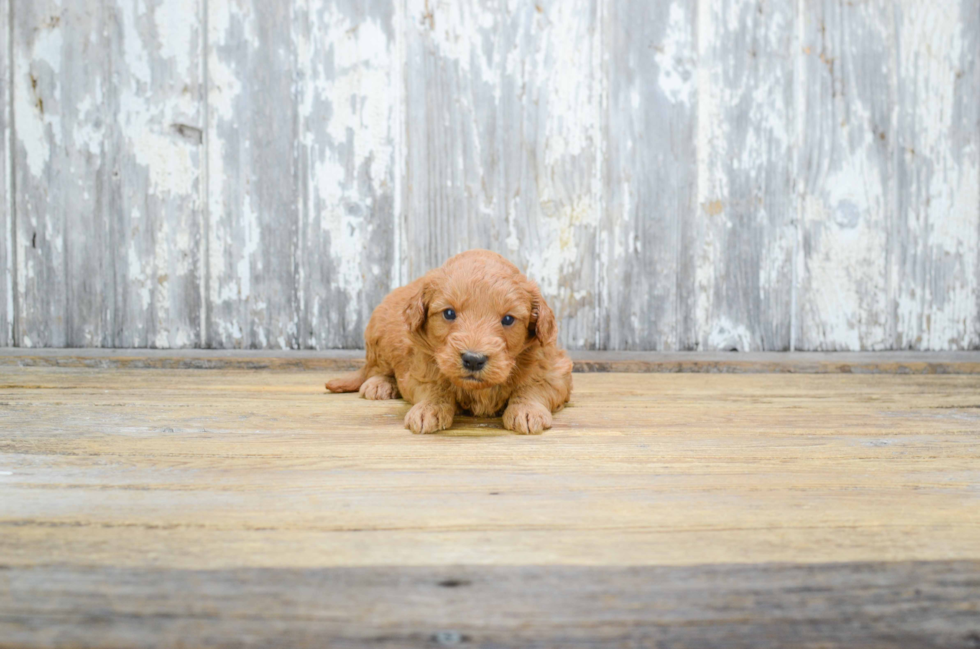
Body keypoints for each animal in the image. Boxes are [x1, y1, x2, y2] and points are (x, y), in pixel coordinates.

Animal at [328, 251, 576, 432]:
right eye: (449, 313)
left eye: (508, 319)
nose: (473, 360)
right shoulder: (419, 368)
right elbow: (434, 387)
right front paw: (429, 408)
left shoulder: (554, 369)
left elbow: (534, 386)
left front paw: (527, 410)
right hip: (380, 335)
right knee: (375, 368)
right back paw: (380, 384)